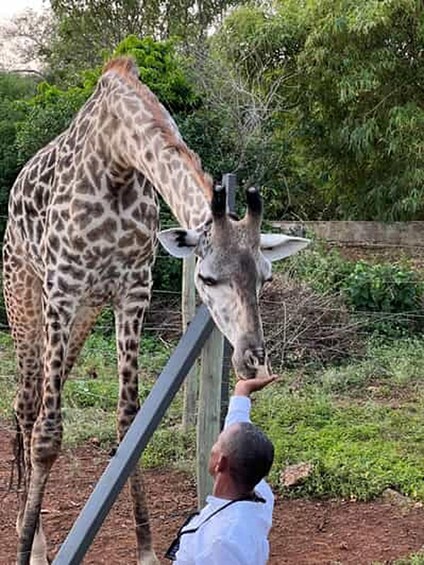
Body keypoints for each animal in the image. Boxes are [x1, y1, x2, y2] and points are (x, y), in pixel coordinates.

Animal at [1, 55, 310, 560]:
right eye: (207, 278)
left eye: (265, 277)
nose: (253, 357)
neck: (116, 158)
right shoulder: (63, 287)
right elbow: (49, 434)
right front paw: (29, 550)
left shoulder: (133, 290)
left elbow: (130, 421)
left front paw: (145, 547)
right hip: (26, 294)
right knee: (28, 407)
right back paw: (35, 541)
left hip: (85, 312)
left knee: (44, 391)